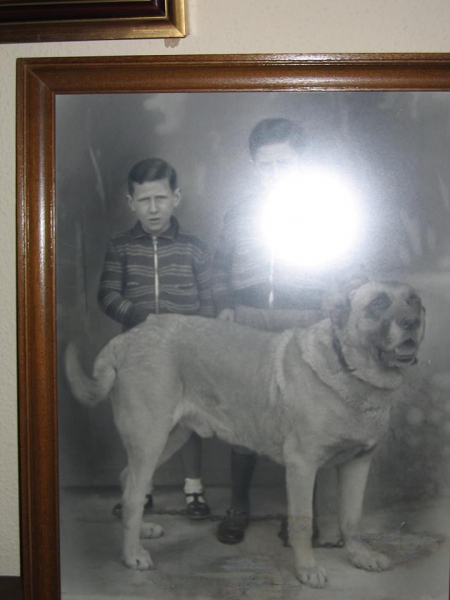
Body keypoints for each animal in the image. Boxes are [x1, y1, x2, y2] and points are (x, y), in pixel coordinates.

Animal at [65, 280, 424, 584]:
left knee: (129, 481)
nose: (412, 323)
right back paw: (131, 554)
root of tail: (128, 337)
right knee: (132, 495)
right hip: (150, 436)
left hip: (171, 437)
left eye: (414, 302)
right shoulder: (303, 465)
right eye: (379, 303)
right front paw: (307, 569)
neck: (351, 371)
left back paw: (141, 531)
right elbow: (302, 520)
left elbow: (352, 518)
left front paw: (360, 555)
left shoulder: (358, 462)